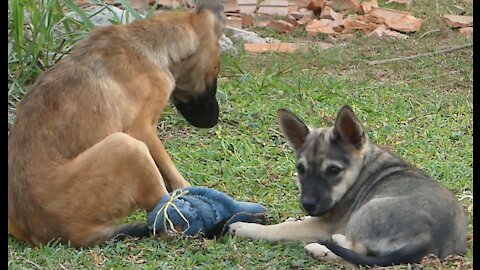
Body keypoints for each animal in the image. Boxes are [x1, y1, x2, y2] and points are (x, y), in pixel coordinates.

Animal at [7, 0, 225, 248]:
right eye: (216, 69)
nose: (213, 121)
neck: (150, 44)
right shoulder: (142, 130)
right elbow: (170, 170)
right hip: (128, 147)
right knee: (164, 221)